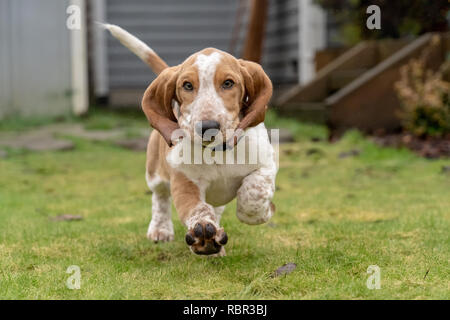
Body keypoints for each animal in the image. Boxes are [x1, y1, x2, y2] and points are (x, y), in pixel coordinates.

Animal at [103, 23, 278, 256]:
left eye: (228, 83)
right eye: (187, 86)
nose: (207, 127)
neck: (216, 152)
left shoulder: (267, 165)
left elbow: (253, 194)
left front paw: (263, 213)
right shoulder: (185, 183)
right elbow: (198, 209)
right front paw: (203, 232)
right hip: (155, 173)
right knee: (159, 197)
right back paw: (160, 229)